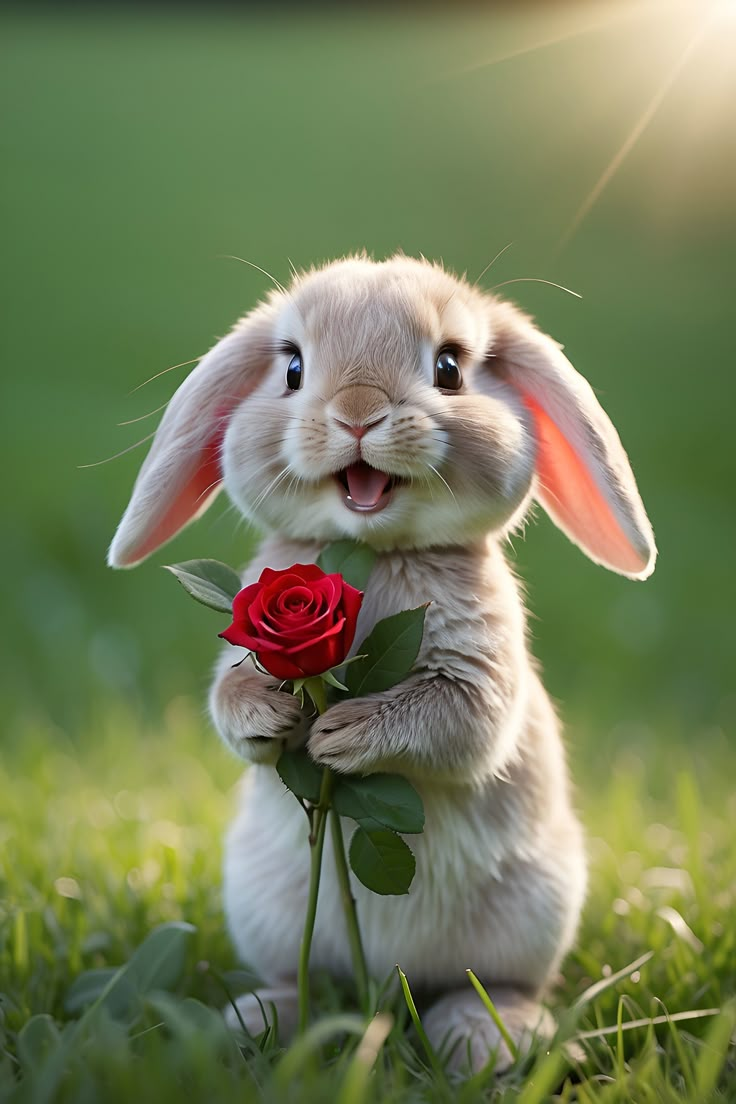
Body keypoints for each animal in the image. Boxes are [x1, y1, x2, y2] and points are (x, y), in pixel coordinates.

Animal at [108, 252, 657, 1068]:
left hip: (531, 917)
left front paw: (342, 736)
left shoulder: (477, 677)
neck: (377, 549)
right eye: (293, 367)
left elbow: (457, 722)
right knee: (302, 979)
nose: (358, 412)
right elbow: (229, 703)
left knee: (492, 985)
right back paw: (255, 1023)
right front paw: (274, 713)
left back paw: (484, 1039)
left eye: (450, 367)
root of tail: (393, 981)